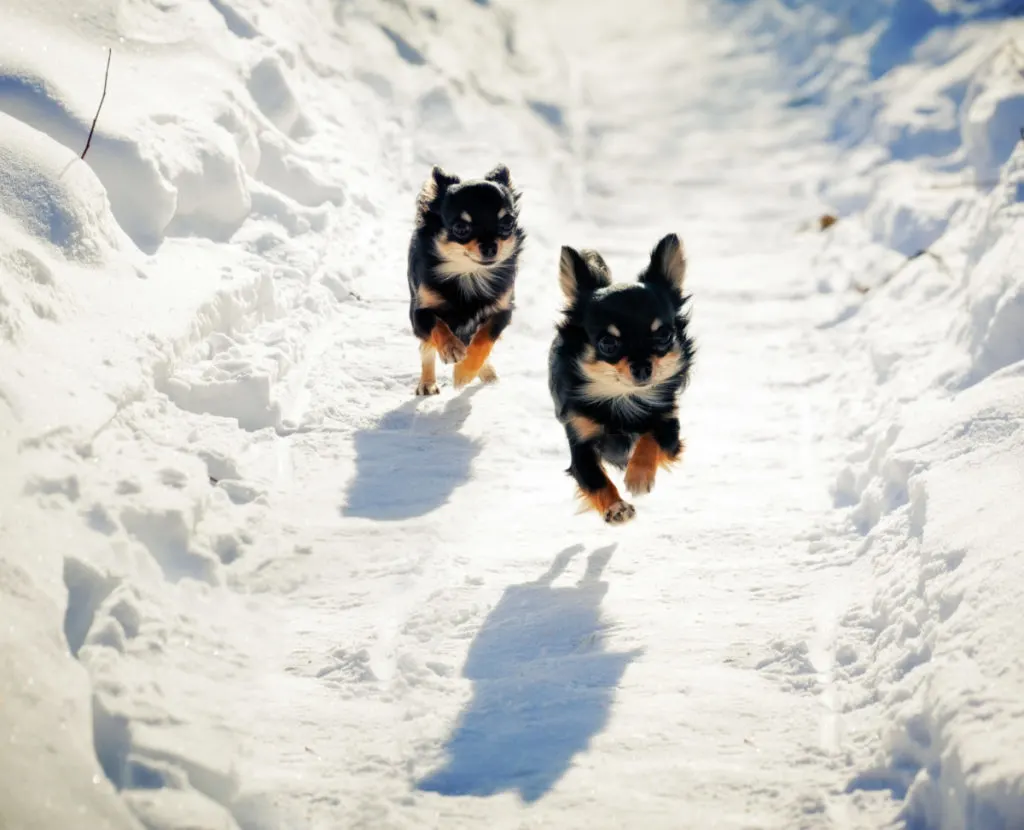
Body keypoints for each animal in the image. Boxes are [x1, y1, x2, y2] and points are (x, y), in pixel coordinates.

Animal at [403, 164, 524, 395]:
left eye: (507, 224)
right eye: (460, 228)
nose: (490, 247)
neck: (469, 275)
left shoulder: (502, 311)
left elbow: (484, 339)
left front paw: (464, 373)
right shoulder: (420, 313)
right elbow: (438, 326)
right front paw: (451, 348)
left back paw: (485, 373)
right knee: (426, 348)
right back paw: (427, 383)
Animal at [544, 230, 696, 521]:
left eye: (663, 336)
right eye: (608, 343)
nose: (643, 367)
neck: (623, 397)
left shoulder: (669, 427)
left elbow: (650, 439)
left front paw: (638, 476)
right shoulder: (580, 441)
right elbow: (593, 478)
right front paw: (615, 507)